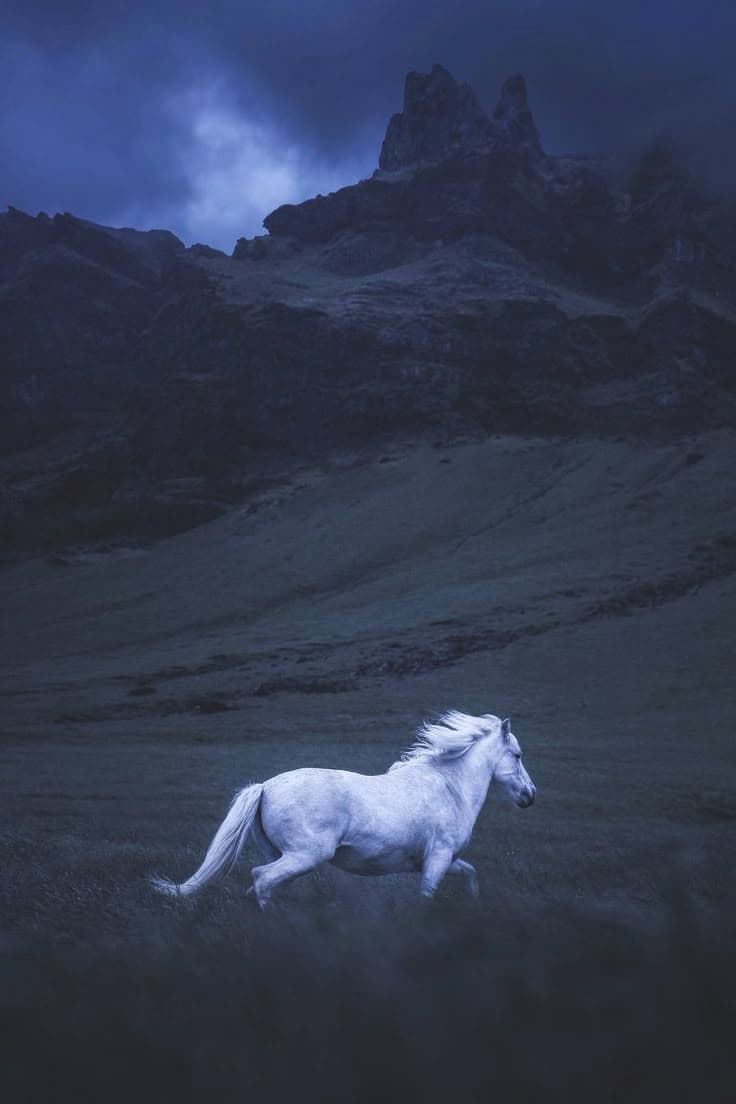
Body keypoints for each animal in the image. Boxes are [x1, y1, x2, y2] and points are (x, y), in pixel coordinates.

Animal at [150, 710, 536, 907]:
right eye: (517, 755)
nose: (530, 796)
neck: (450, 787)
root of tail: (265, 787)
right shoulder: (438, 858)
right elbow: (427, 896)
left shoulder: (440, 860)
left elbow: (471, 874)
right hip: (306, 855)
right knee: (261, 880)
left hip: (282, 854)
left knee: (265, 884)